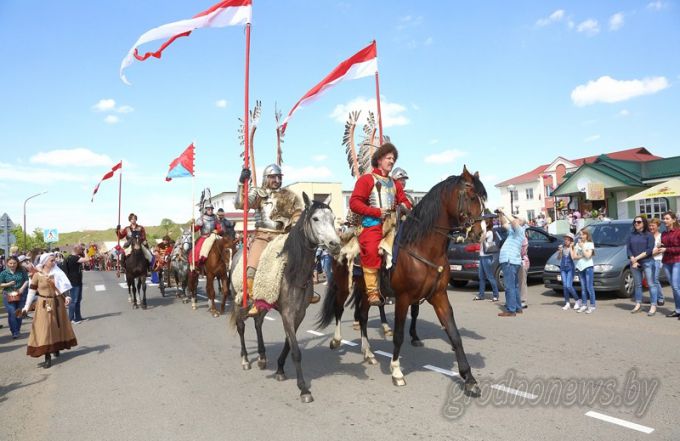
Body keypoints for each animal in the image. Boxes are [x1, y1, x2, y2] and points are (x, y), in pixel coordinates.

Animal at [230, 192, 346, 402]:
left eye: (333, 219)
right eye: (315, 219)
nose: (335, 245)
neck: (293, 271)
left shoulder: (298, 313)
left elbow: (288, 343)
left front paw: (280, 370)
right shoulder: (287, 313)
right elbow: (296, 351)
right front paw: (304, 389)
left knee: (258, 322)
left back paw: (262, 357)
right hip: (238, 299)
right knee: (241, 326)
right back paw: (245, 359)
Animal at [318, 167, 484, 394]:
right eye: (471, 196)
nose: (480, 233)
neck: (422, 248)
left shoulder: (438, 295)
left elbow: (454, 334)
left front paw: (469, 378)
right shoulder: (403, 298)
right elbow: (398, 335)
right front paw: (396, 371)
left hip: (366, 290)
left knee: (362, 316)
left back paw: (368, 353)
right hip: (344, 285)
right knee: (339, 309)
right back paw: (336, 340)